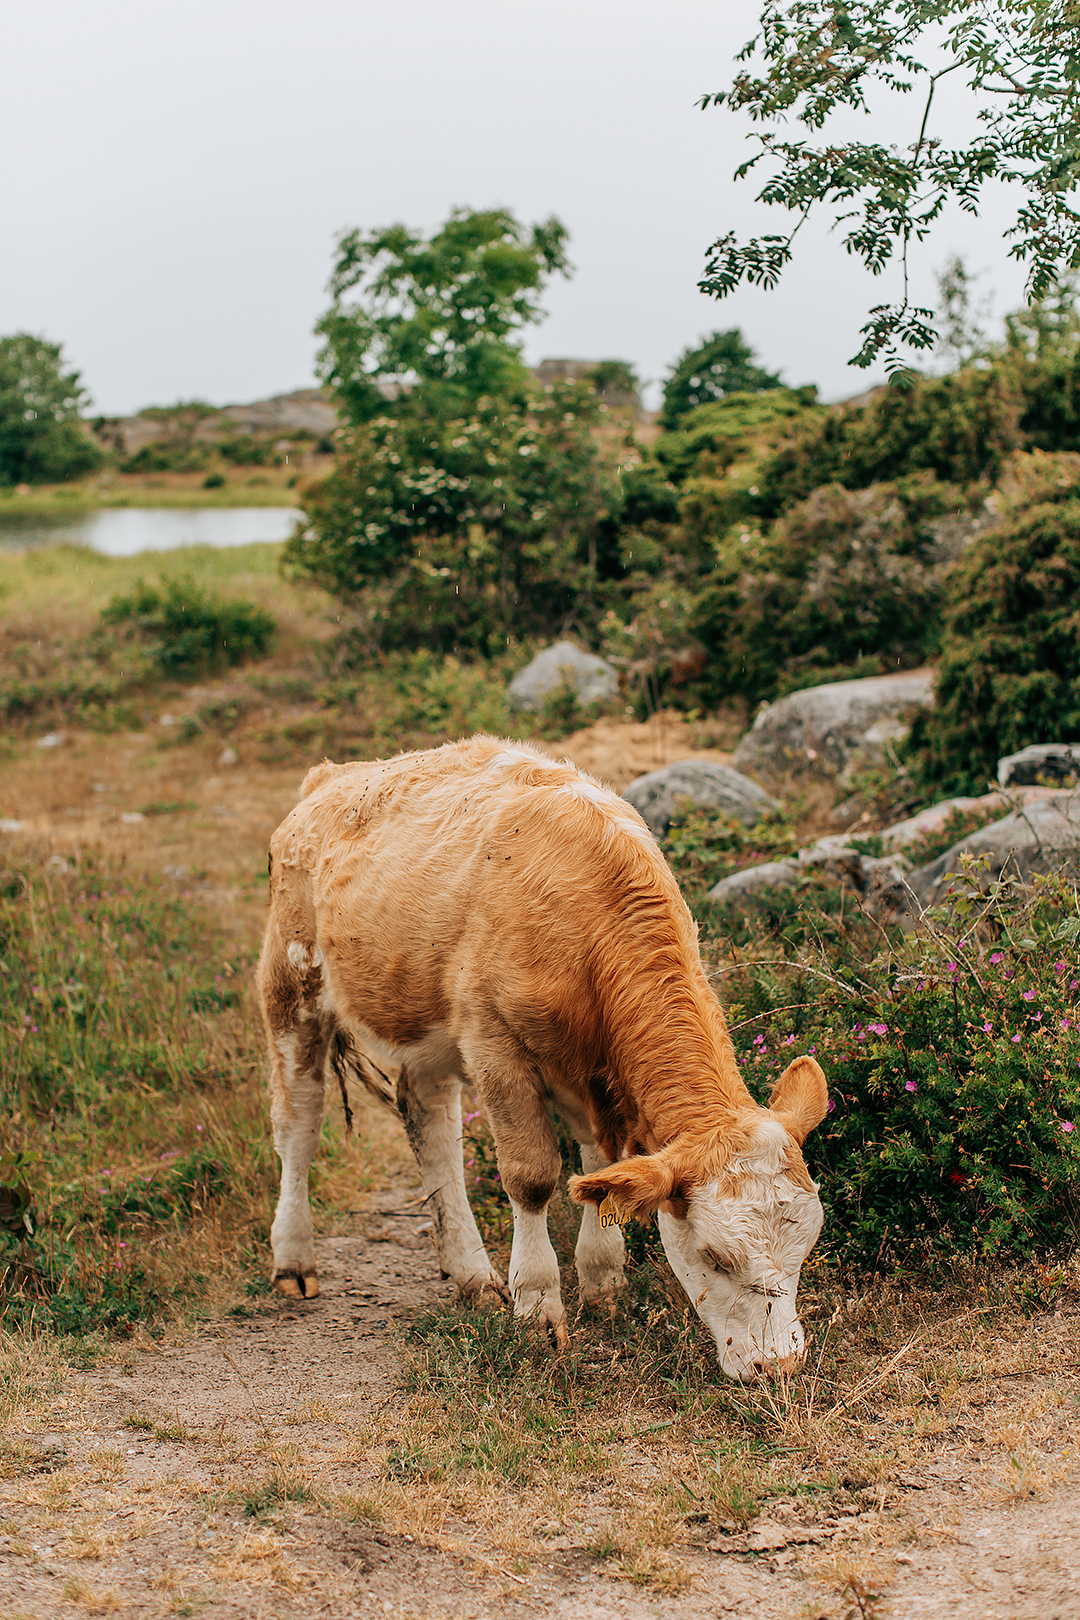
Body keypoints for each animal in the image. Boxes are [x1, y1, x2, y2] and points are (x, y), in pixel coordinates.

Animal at [259, 735, 829, 1380]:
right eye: (714, 1256)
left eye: (808, 1243)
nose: (779, 1367)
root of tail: (331, 777)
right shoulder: (495, 1044)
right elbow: (532, 1178)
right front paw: (538, 1309)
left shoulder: (594, 1076)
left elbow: (601, 1171)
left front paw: (604, 1284)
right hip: (291, 986)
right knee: (299, 1126)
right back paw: (295, 1260)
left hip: (427, 1028)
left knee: (429, 1122)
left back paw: (471, 1275)